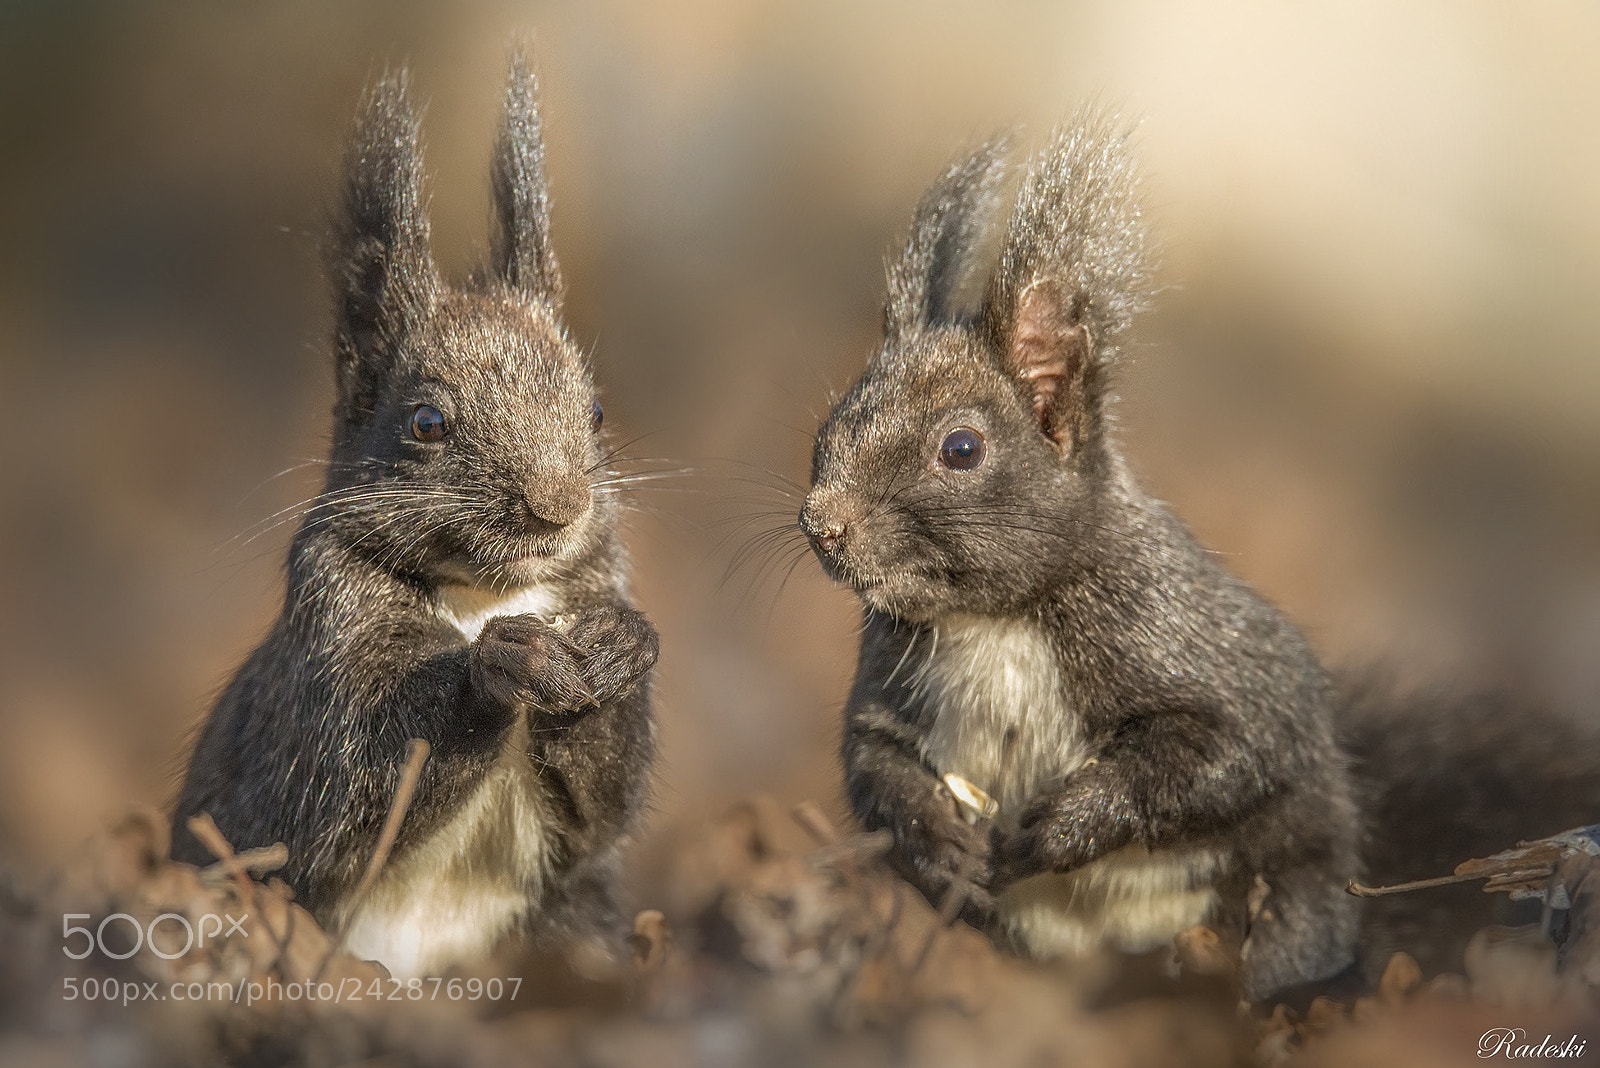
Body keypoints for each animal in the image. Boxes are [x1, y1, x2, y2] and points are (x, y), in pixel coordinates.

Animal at [171, 52, 658, 978]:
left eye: (597, 411)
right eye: (428, 423)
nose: (560, 506)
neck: (485, 595)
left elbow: (601, 813)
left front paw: (622, 646)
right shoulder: (326, 643)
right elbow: (355, 774)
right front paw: (503, 664)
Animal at [800, 114, 1600, 1001]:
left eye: (962, 448)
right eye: (829, 424)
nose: (820, 524)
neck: (992, 620)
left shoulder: (1184, 638)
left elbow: (1230, 746)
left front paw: (1065, 825)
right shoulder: (892, 682)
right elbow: (872, 762)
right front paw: (937, 846)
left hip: (1293, 898)